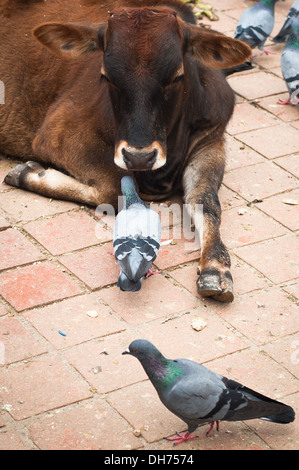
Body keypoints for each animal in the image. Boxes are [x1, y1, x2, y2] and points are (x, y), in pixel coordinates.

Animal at [0, 0, 252, 302]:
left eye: (177, 76)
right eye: (106, 76)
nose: (139, 156)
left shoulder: (211, 139)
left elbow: (206, 202)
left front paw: (216, 266)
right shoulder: (58, 134)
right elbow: (112, 188)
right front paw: (30, 173)